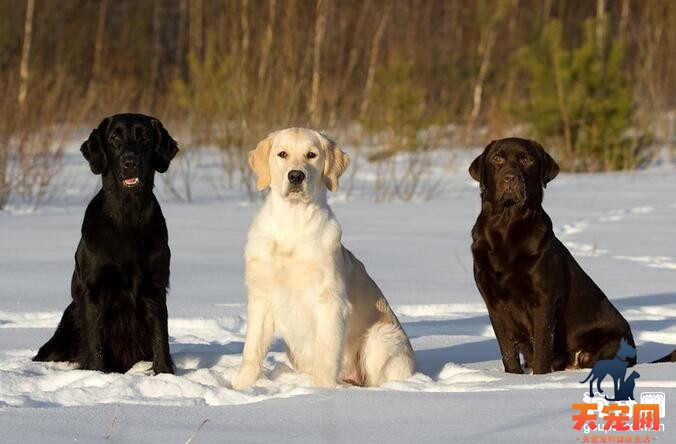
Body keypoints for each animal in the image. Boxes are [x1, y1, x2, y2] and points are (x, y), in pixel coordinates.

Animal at [34, 112, 178, 372]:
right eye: (115, 138)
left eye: (145, 137)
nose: (130, 162)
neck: (127, 218)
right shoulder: (94, 289)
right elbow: (94, 343)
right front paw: (96, 374)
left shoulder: (156, 285)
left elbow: (160, 337)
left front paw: (165, 374)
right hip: (68, 322)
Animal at [230, 126, 414, 386]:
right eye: (282, 154)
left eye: (312, 155)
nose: (296, 176)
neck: (292, 222)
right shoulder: (261, 297)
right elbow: (252, 350)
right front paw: (241, 386)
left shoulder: (331, 302)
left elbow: (326, 353)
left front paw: (322, 391)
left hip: (381, 337)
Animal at [468, 139, 636, 374]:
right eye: (497, 158)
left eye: (527, 159)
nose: (510, 177)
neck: (507, 228)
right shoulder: (494, 303)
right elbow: (508, 352)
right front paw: (513, 378)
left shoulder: (544, 301)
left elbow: (541, 350)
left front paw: (540, 378)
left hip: (607, 343)